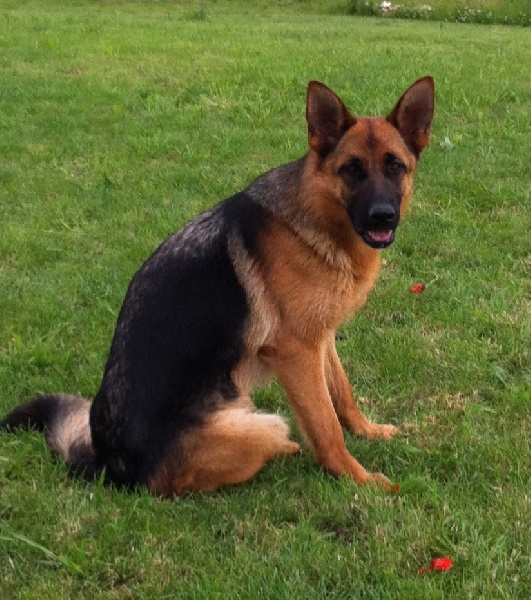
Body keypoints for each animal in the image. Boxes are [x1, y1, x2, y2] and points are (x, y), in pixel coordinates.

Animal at [1, 76, 436, 496]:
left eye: (395, 167)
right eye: (352, 169)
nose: (383, 216)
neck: (317, 217)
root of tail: (109, 466)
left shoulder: (320, 338)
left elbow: (341, 393)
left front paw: (367, 431)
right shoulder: (297, 352)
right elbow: (325, 425)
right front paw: (358, 479)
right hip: (262, 423)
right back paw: (284, 449)